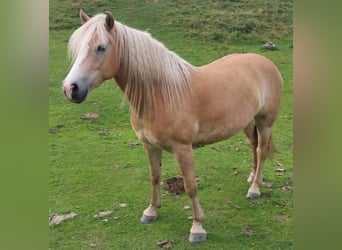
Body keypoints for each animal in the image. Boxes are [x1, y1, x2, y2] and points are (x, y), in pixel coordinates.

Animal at [61, 9, 284, 242]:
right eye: (78, 47)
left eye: (101, 47)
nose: (70, 89)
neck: (161, 95)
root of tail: (264, 61)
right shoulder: (149, 146)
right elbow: (154, 177)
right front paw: (151, 211)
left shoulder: (183, 149)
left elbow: (190, 186)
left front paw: (197, 227)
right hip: (247, 122)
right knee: (253, 146)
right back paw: (252, 177)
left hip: (265, 122)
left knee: (261, 150)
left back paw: (255, 189)